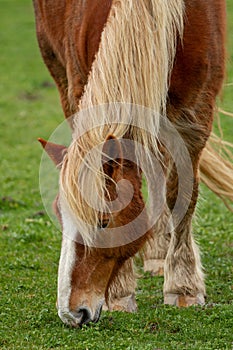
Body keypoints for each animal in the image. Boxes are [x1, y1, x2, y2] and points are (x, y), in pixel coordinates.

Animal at [31, 0, 229, 328]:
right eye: (60, 214)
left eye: (103, 222)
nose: (71, 313)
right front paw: (121, 294)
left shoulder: (196, 114)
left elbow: (182, 197)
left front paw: (184, 288)